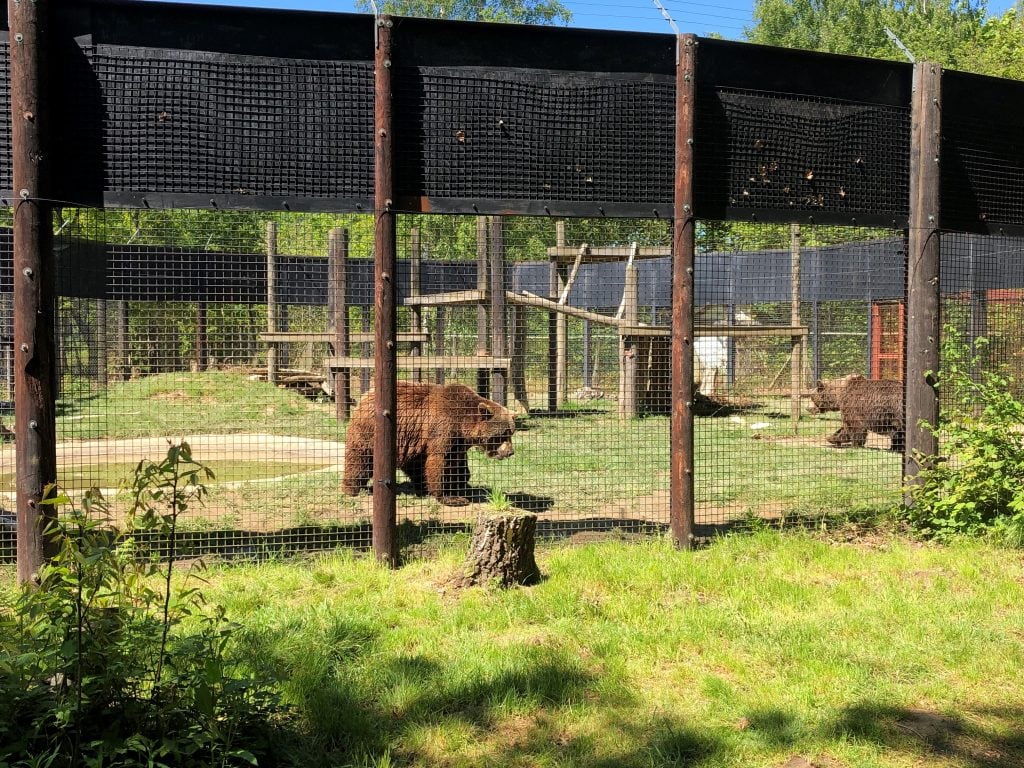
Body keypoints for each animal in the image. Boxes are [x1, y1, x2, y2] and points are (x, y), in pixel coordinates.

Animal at [342, 381, 516, 506]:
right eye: (502, 434)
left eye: (511, 432)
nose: (510, 452)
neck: (463, 424)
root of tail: (365, 397)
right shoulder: (443, 427)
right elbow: (440, 460)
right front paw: (450, 497)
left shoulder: (457, 441)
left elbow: (456, 463)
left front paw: (460, 484)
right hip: (370, 432)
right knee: (360, 459)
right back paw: (352, 488)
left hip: (411, 441)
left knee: (415, 465)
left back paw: (422, 487)